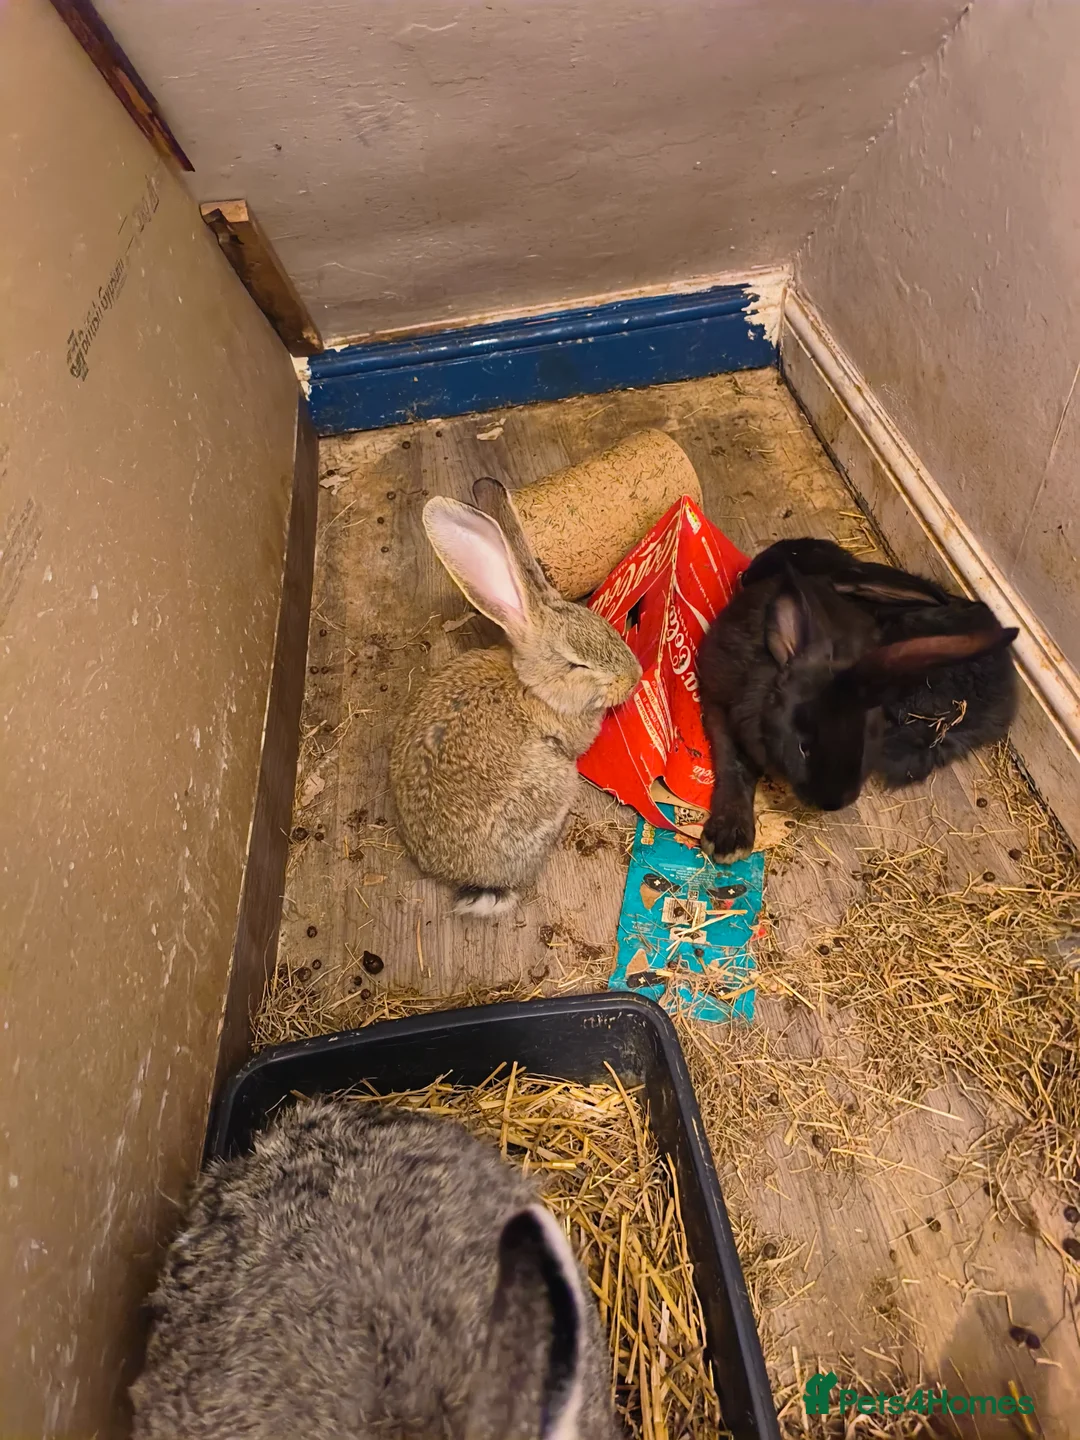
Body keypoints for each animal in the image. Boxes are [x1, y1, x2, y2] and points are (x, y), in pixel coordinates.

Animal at [696, 564, 1017, 860]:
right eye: (803, 748)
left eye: (864, 743)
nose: (832, 803)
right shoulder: (720, 707)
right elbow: (734, 767)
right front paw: (727, 840)